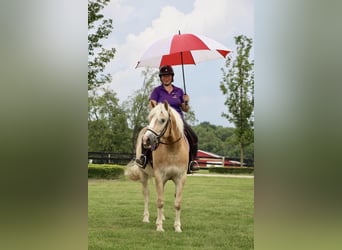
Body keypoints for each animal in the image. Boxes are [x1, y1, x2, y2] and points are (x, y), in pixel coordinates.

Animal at [126, 101, 190, 232]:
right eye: (150, 118)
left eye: (162, 120)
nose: (146, 139)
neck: (172, 150)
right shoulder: (159, 176)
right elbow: (160, 201)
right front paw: (159, 227)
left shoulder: (181, 178)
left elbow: (177, 203)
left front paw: (177, 227)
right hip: (144, 175)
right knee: (146, 194)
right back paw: (146, 218)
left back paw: (162, 217)